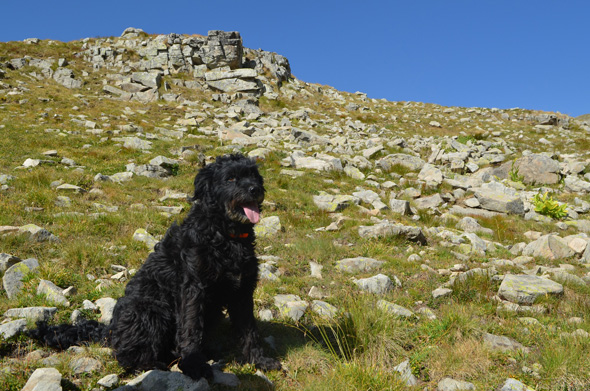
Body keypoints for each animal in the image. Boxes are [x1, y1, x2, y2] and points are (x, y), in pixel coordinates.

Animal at [28, 153, 284, 380]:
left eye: (253, 176)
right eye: (230, 178)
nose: (254, 190)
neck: (225, 235)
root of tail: (110, 330)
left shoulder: (242, 291)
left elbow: (250, 330)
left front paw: (259, 360)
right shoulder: (193, 289)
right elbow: (191, 329)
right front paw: (194, 365)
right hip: (149, 311)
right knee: (126, 357)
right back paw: (155, 366)